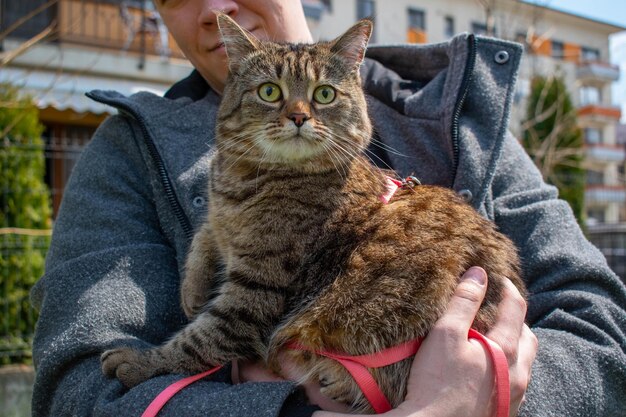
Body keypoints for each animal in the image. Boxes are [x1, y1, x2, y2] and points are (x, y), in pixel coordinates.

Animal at [101, 13, 520, 412]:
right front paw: (193, 286)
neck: (245, 179)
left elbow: (204, 339)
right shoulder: (220, 217)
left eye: (324, 94)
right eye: (270, 91)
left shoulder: (259, 286)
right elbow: (205, 234)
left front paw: (143, 363)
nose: (299, 117)